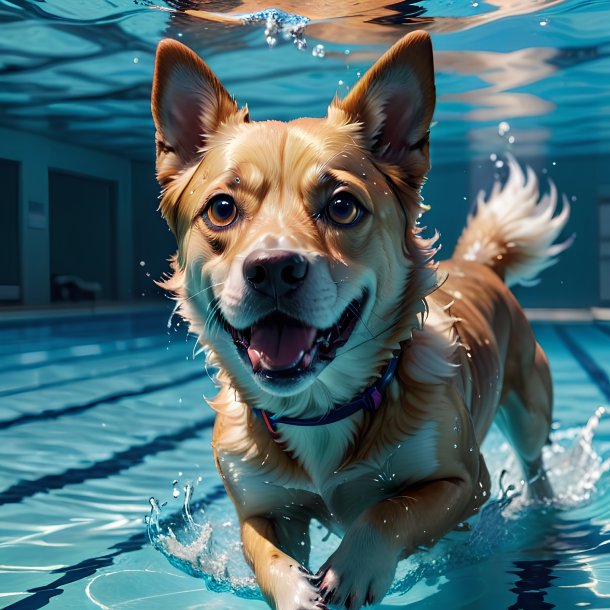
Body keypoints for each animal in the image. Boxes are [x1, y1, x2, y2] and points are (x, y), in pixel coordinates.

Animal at [150, 29, 568, 608]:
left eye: (343, 206)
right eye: (222, 209)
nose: (273, 268)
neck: (319, 408)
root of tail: (479, 263)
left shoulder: (465, 483)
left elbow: (390, 510)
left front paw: (354, 568)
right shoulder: (262, 510)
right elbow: (266, 554)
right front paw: (295, 591)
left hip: (529, 413)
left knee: (534, 464)